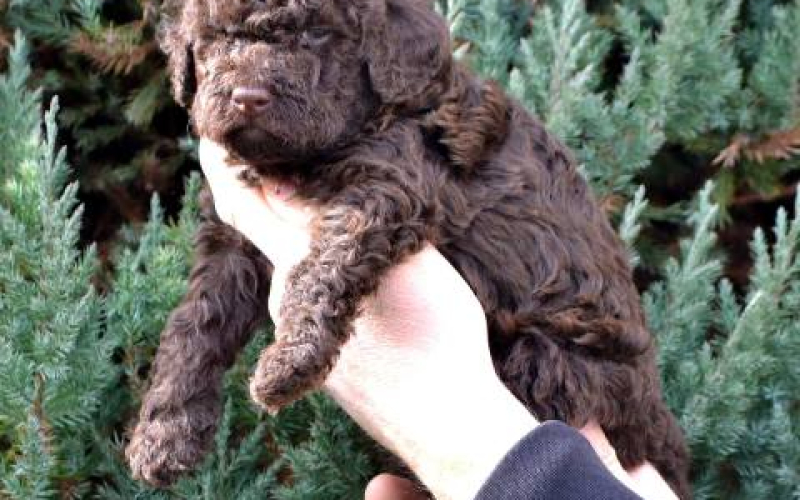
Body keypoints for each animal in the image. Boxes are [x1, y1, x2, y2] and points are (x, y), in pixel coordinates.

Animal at [128, 0, 692, 496]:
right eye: (216, 39)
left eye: (317, 36)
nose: (248, 95)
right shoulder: (230, 240)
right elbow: (194, 326)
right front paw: (163, 436)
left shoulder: (389, 188)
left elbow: (323, 268)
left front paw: (288, 364)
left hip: (547, 365)